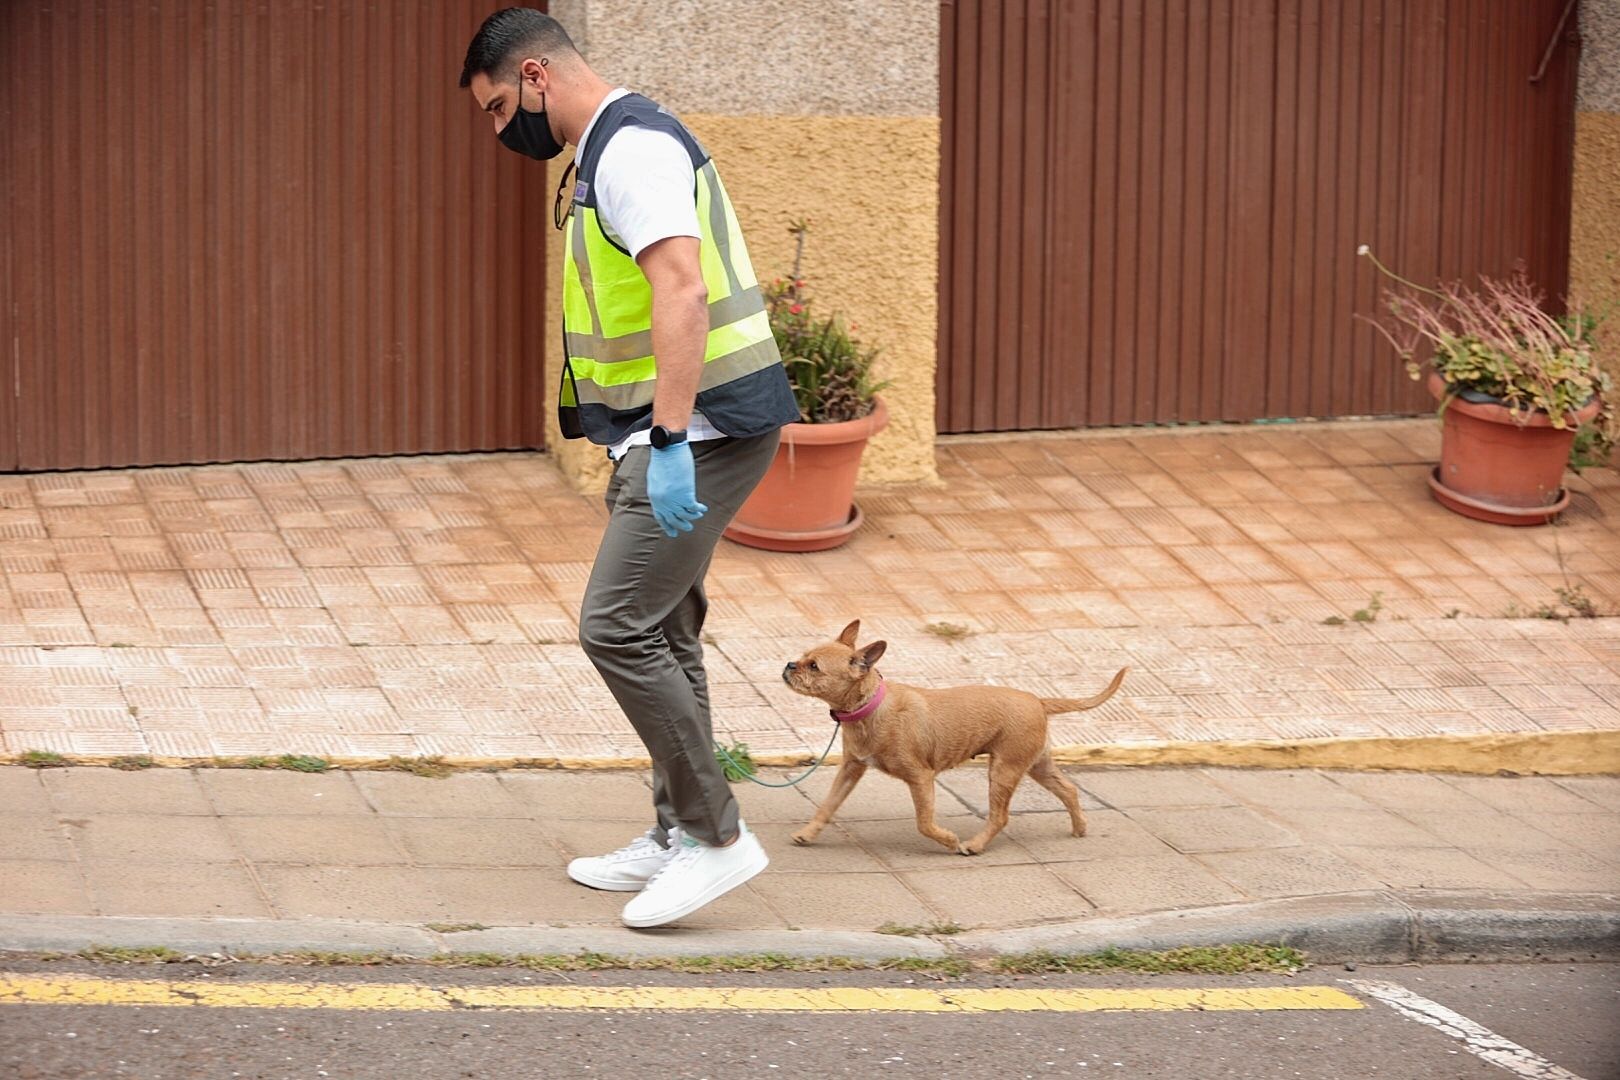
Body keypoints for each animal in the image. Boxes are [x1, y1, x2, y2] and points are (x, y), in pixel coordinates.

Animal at [784, 621, 1127, 854]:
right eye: (802, 657)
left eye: (814, 667)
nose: (788, 664)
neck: (870, 706)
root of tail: (1038, 701)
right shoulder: (851, 769)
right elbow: (827, 805)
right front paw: (809, 833)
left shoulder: (920, 778)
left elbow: (924, 822)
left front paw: (947, 840)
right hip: (1035, 765)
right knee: (1068, 790)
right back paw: (1079, 827)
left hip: (1003, 771)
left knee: (1000, 816)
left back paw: (974, 845)